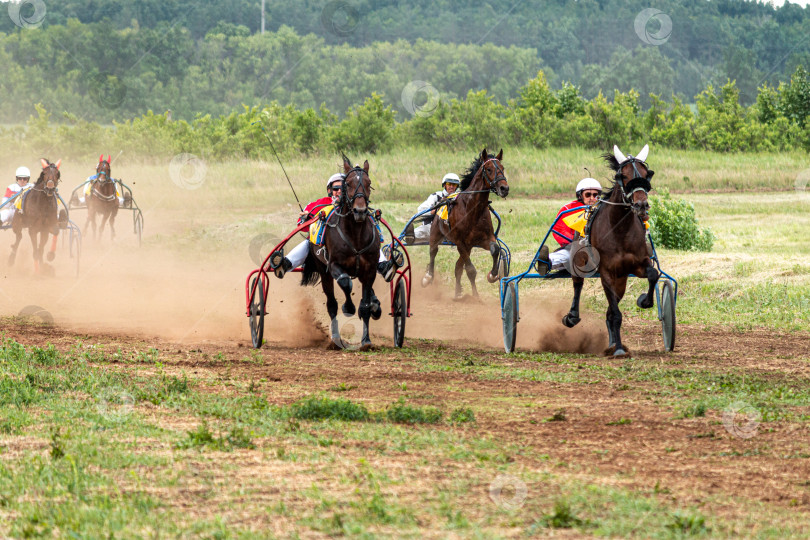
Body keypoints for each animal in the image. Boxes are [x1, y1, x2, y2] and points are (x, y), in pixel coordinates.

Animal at [300, 155, 382, 350]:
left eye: (368, 183)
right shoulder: (334, 266)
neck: (355, 235)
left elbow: (365, 305)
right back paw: (336, 339)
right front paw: (349, 308)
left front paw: (366, 341)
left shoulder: (370, 270)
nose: (360, 211)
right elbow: (345, 283)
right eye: (349, 184)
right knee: (331, 304)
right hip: (324, 271)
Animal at [422, 148, 504, 298]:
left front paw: (493, 274)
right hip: (436, 235)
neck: (472, 208)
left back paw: (456, 293)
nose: (504, 188)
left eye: (502, 168)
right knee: (433, 253)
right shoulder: (460, 241)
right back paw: (428, 277)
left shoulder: (483, 239)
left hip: (469, 246)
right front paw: (476, 296)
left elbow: (495, 249)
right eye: (489, 169)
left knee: (458, 267)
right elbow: (471, 270)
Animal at [560, 142, 656, 358]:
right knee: (578, 285)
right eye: (624, 175)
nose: (641, 204)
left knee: (611, 309)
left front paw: (644, 300)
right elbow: (616, 314)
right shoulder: (606, 272)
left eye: (646, 174)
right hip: (581, 263)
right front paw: (619, 349)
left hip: (621, 279)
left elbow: (653, 274)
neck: (619, 229)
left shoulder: (637, 265)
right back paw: (572, 316)